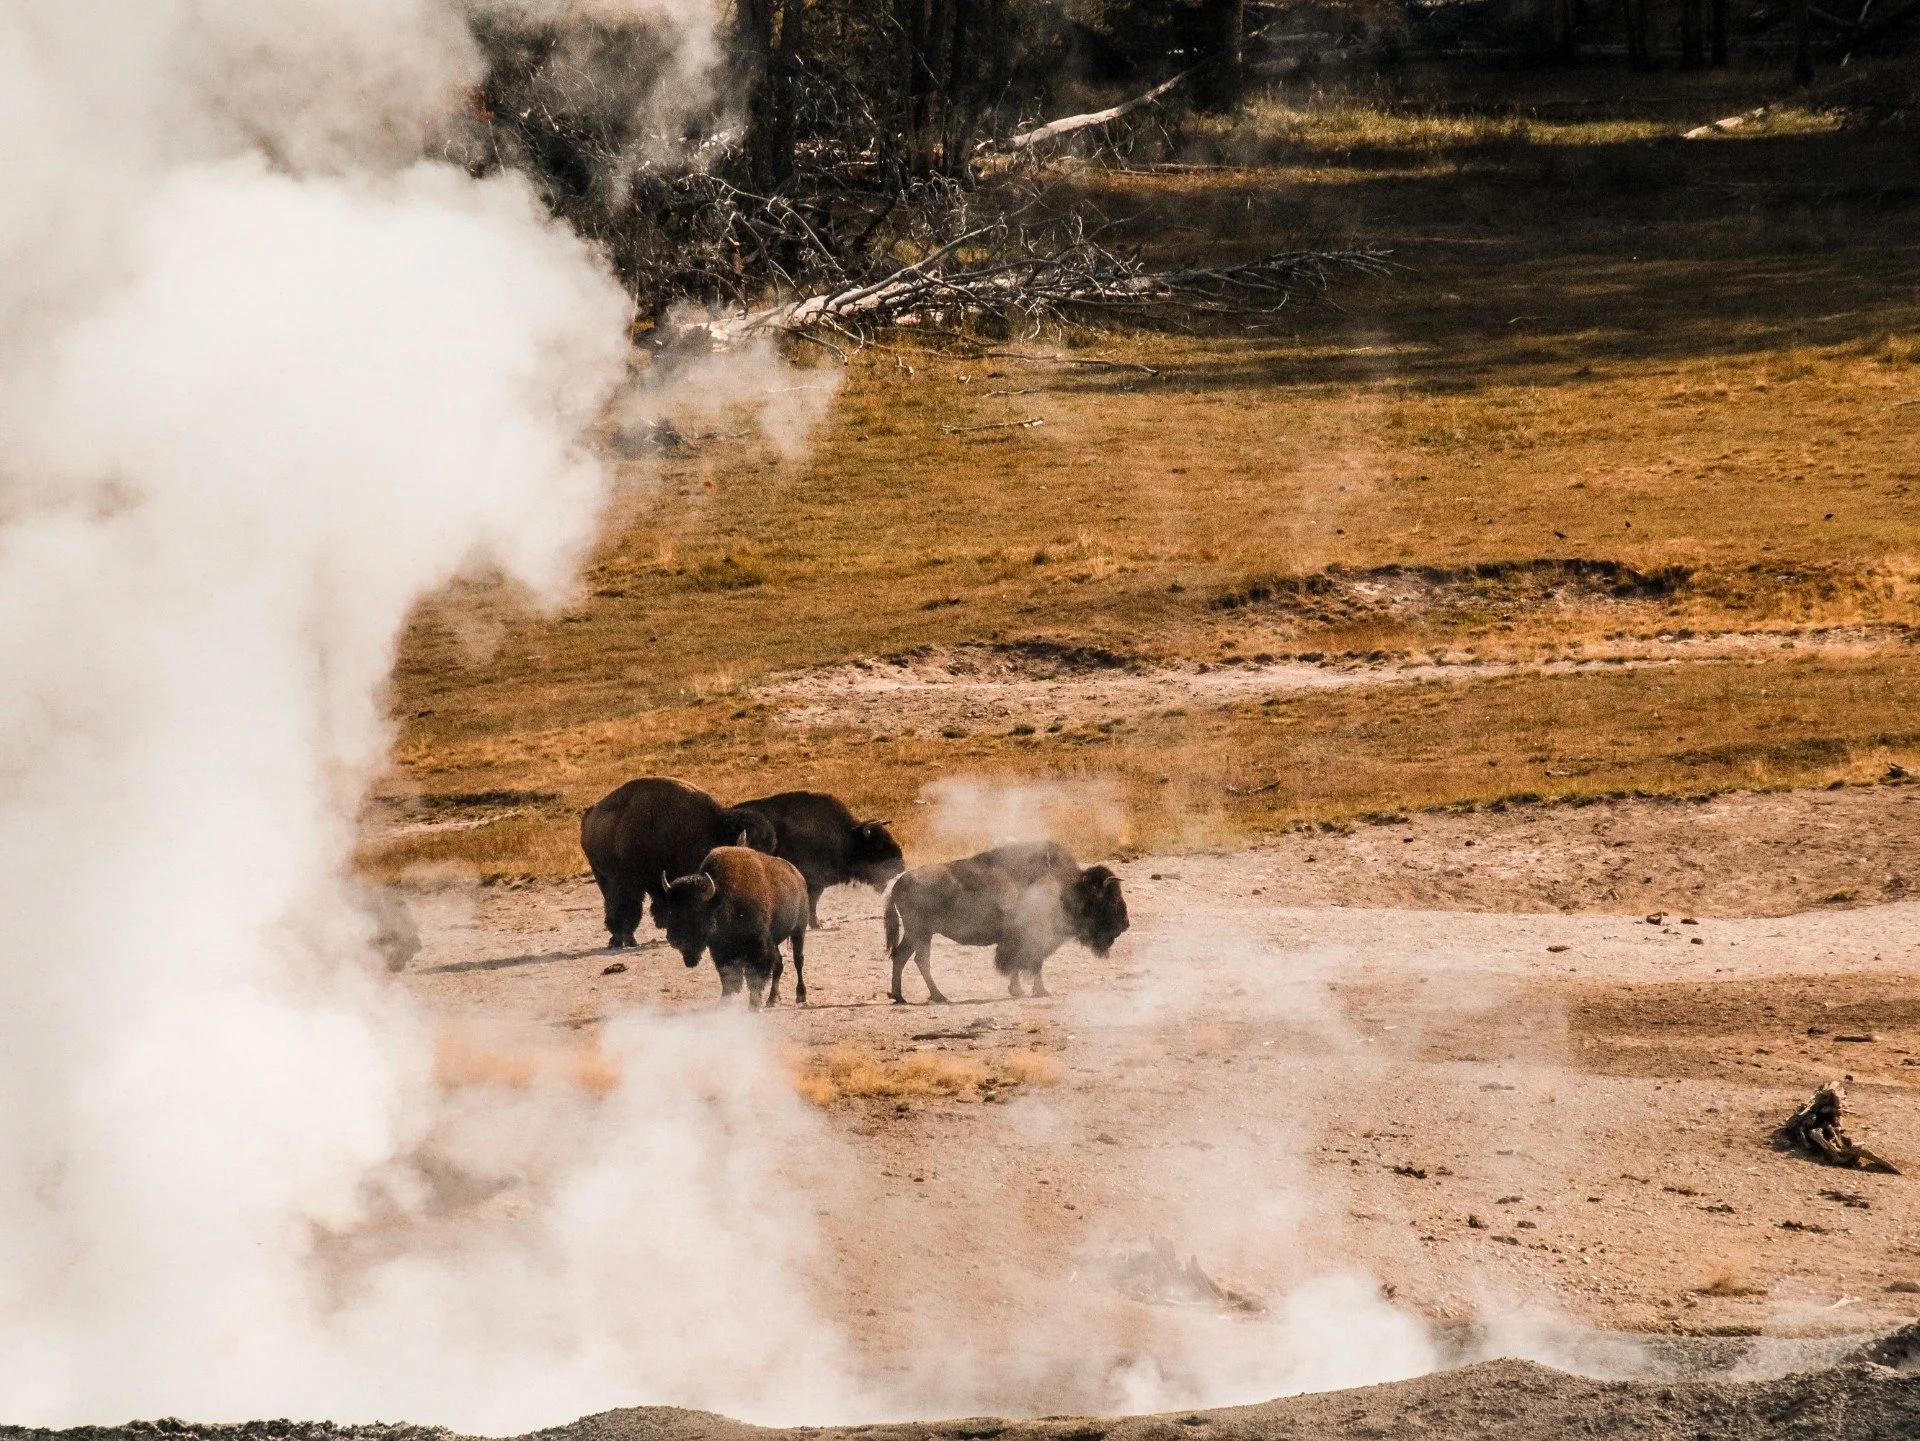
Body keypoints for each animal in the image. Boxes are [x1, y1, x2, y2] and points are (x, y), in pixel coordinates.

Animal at [580, 777, 778, 948]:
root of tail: (589, 814)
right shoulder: (630, 878)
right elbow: (627, 906)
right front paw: (628, 939)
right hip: (601, 874)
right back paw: (618, 939)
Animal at [661, 846, 811, 1008]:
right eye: (670, 909)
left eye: (693, 910)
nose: (673, 939)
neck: (721, 899)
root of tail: (798, 877)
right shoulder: (721, 951)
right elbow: (728, 978)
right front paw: (723, 1003)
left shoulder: (758, 946)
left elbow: (754, 975)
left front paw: (754, 1005)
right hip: (776, 941)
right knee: (778, 964)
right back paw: (772, 999)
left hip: (799, 930)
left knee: (798, 960)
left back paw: (801, 996)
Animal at [734, 790, 905, 926]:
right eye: (879, 844)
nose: (901, 866)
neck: (847, 836)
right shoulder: (815, 882)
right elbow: (812, 901)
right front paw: (816, 924)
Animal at [882, 840, 1129, 1004]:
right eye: (1111, 897)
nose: (1125, 924)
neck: (1066, 888)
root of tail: (898, 884)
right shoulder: (1031, 938)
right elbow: (1032, 964)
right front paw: (1040, 991)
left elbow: (1018, 966)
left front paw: (1018, 990)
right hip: (921, 932)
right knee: (919, 959)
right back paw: (937, 996)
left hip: (918, 933)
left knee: (902, 956)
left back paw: (901, 996)